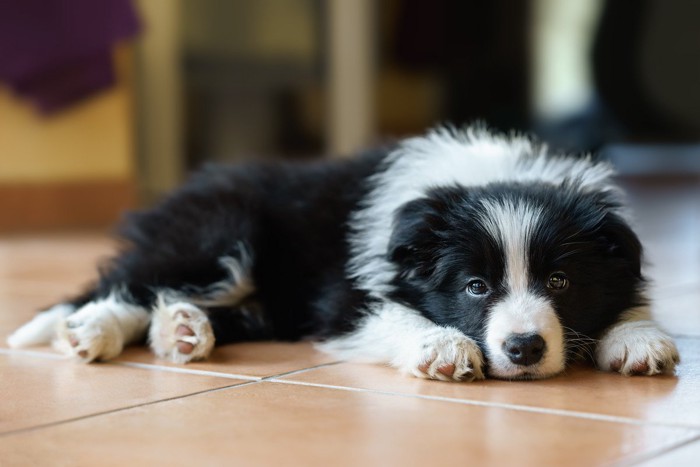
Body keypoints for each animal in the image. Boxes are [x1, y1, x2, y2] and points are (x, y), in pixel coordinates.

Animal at [8, 126, 680, 382]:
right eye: (476, 287)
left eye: (561, 282)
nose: (523, 349)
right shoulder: (347, 292)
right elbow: (390, 314)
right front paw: (441, 348)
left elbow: (630, 300)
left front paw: (638, 339)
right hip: (219, 230)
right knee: (124, 284)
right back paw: (89, 331)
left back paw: (182, 330)